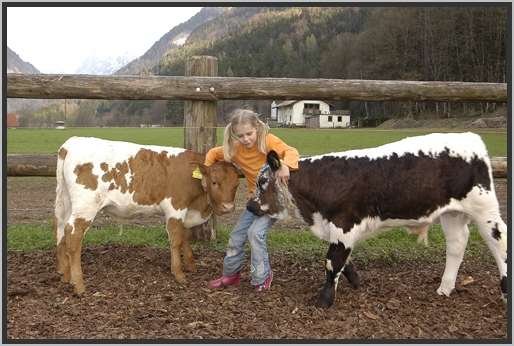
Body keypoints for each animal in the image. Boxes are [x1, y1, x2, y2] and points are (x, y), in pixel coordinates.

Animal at [54, 137, 238, 294]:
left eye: (236, 185)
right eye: (214, 182)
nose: (228, 207)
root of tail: (71, 143)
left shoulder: (186, 212)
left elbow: (185, 237)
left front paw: (191, 265)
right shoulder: (175, 209)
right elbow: (176, 240)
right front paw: (179, 274)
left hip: (67, 203)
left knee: (62, 229)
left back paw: (66, 276)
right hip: (85, 207)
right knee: (73, 235)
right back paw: (79, 284)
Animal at [246, 132, 506, 308]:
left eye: (263, 181)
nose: (249, 205)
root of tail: (469, 138)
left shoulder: (344, 223)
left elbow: (332, 262)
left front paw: (324, 301)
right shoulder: (336, 229)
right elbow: (343, 258)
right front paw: (355, 280)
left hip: (484, 209)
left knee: (499, 241)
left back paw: (504, 290)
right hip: (452, 213)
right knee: (457, 244)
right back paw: (445, 288)